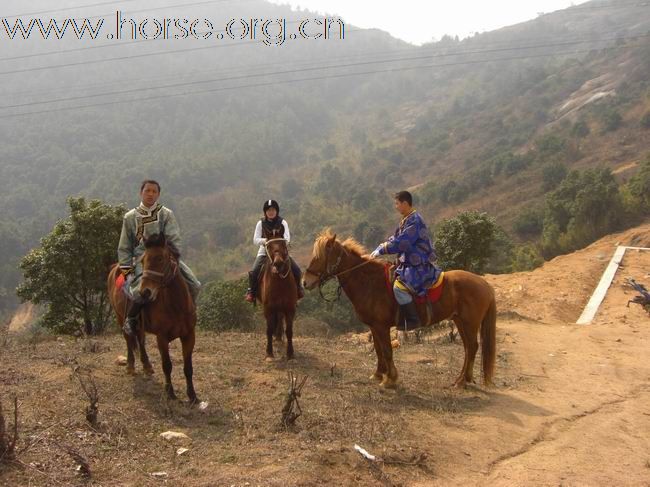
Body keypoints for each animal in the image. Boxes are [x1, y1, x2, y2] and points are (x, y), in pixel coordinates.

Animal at [107, 234, 197, 402]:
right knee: (128, 339)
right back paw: (130, 366)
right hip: (119, 316)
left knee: (140, 340)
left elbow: (188, 368)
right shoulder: (161, 338)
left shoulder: (189, 335)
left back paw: (147, 365)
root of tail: (116, 267)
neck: (176, 306)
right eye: (143, 261)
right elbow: (167, 365)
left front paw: (193, 396)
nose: (145, 292)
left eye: (160, 259)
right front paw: (170, 393)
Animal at [302, 231, 494, 390]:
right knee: (468, 348)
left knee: (472, 347)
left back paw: (462, 381)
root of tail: (484, 283)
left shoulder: (381, 326)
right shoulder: (374, 326)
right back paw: (462, 379)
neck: (370, 283)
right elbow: (378, 349)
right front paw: (378, 374)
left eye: (320, 257)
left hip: (469, 322)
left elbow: (387, 351)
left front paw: (390, 379)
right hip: (460, 321)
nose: (305, 282)